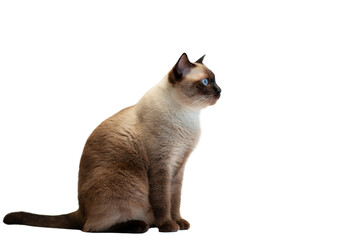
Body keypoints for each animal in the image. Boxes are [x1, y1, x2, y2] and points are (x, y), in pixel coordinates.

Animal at [3, 53, 222, 233]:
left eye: (215, 81)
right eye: (205, 82)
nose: (220, 90)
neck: (188, 116)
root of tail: (81, 210)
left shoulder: (178, 166)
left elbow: (175, 200)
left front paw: (179, 223)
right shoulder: (162, 166)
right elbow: (163, 202)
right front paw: (168, 226)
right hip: (125, 181)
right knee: (91, 228)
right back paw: (138, 226)